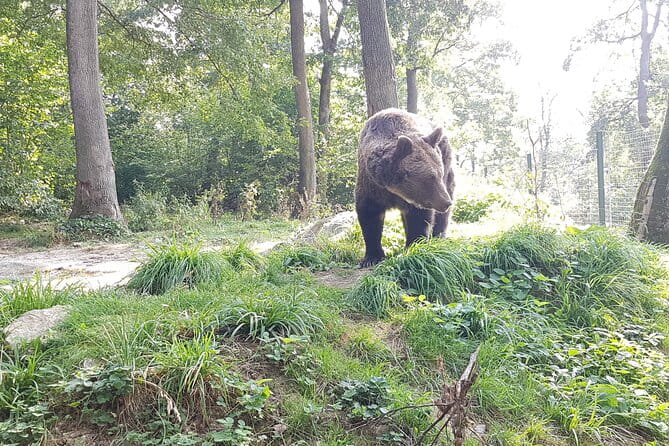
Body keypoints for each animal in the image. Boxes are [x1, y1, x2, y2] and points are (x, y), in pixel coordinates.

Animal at [355, 108, 455, 267]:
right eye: (430, 177)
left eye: (439, 173)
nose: (446, 202)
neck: (394, 190)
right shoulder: (371, 187)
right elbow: (369, 218)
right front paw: (371, 257)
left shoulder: (419, 199)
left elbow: (419, 219)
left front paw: (414, 247)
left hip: (446, 158)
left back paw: (439, 236)